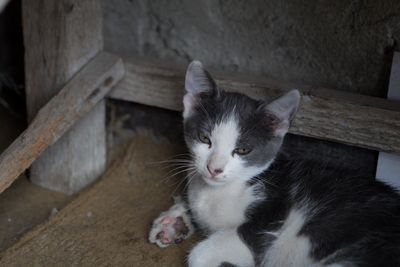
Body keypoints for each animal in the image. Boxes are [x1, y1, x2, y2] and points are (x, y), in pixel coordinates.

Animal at [148, 61, 398, 267]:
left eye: (242, 150)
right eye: (204, 139)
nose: (214, 169)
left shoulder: (267, 224)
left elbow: (201, 255)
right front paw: (172, 222)